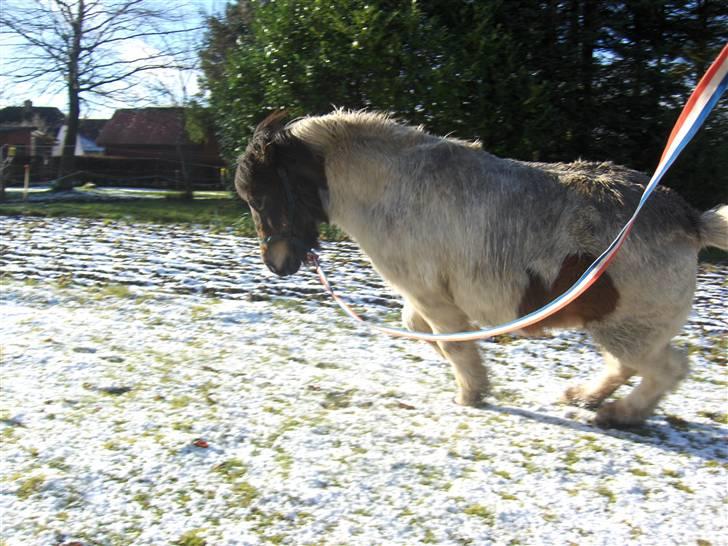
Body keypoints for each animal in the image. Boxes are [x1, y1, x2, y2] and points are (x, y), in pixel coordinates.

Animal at [235, 108, 728, 428]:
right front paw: (472, 372)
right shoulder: (426, 296)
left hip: (628, 326)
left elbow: (447, 340)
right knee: (627, 366)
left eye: (262, 196)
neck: (392, 189)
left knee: (666, 369)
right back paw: (587, 397)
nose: (275, 265)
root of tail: (690, 220)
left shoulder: (429, 294)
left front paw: (471, 393)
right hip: (618, 324)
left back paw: (617, 414)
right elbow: (423, 330)